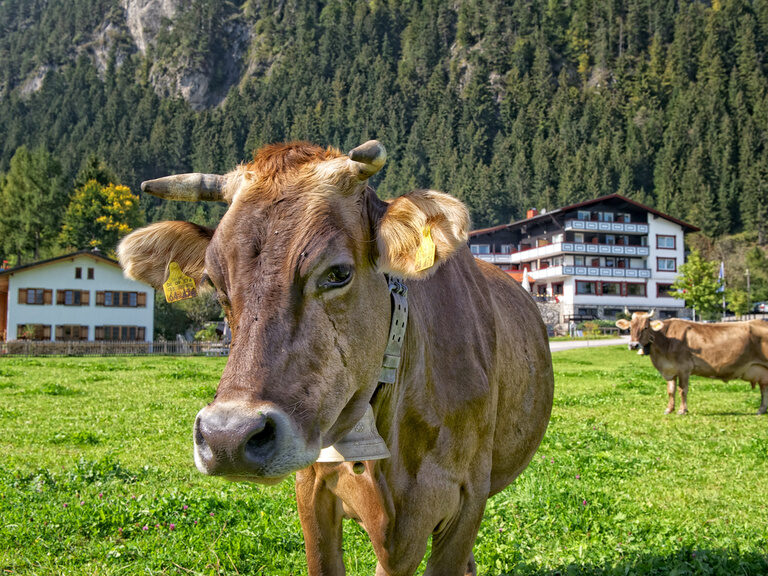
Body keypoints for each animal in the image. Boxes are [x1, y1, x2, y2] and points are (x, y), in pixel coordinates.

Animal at [616, 311, 768, 415]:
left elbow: (682, 390)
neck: (666, 341)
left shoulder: (684, 368)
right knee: (764, 389)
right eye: (630, 327)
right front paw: (669, 409)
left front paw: (682, 410)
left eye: (646, 327)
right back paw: (761, 410)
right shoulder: (670, 369)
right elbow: (670, 390)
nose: (634, 345)